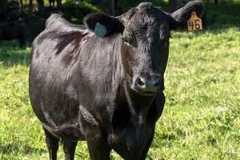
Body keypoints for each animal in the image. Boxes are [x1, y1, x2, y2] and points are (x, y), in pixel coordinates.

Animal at [29, 0, 203, 159]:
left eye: (166, 38)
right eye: (126, 39)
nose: (147, 82)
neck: (137, 111)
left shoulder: (146, 136)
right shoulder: (93, 129)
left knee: (68, 147)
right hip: (47, 123)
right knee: (52, 147)